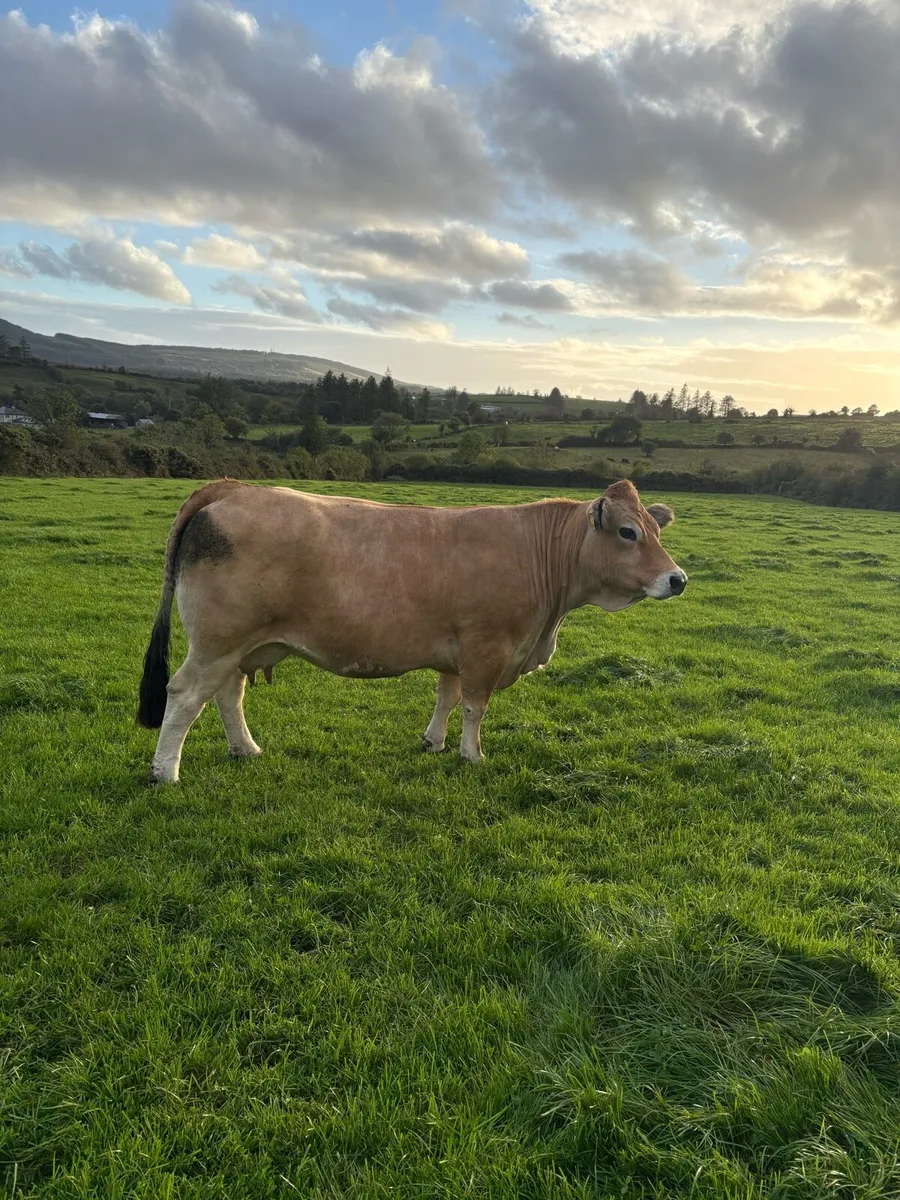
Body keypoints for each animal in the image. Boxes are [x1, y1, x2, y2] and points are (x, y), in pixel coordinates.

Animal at [137, 478, 687, 783]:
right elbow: (475, 707)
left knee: (227, 695)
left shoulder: (458, 649)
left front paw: (434, 743)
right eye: (627, 532)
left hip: (238, 646)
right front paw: (472, 755)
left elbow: (447, 697)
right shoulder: (487, 648)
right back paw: (165, 771)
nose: (678, 578)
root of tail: (233, 488)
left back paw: (245, 749)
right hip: (218, 641)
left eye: (656, 530)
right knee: (185, 695)